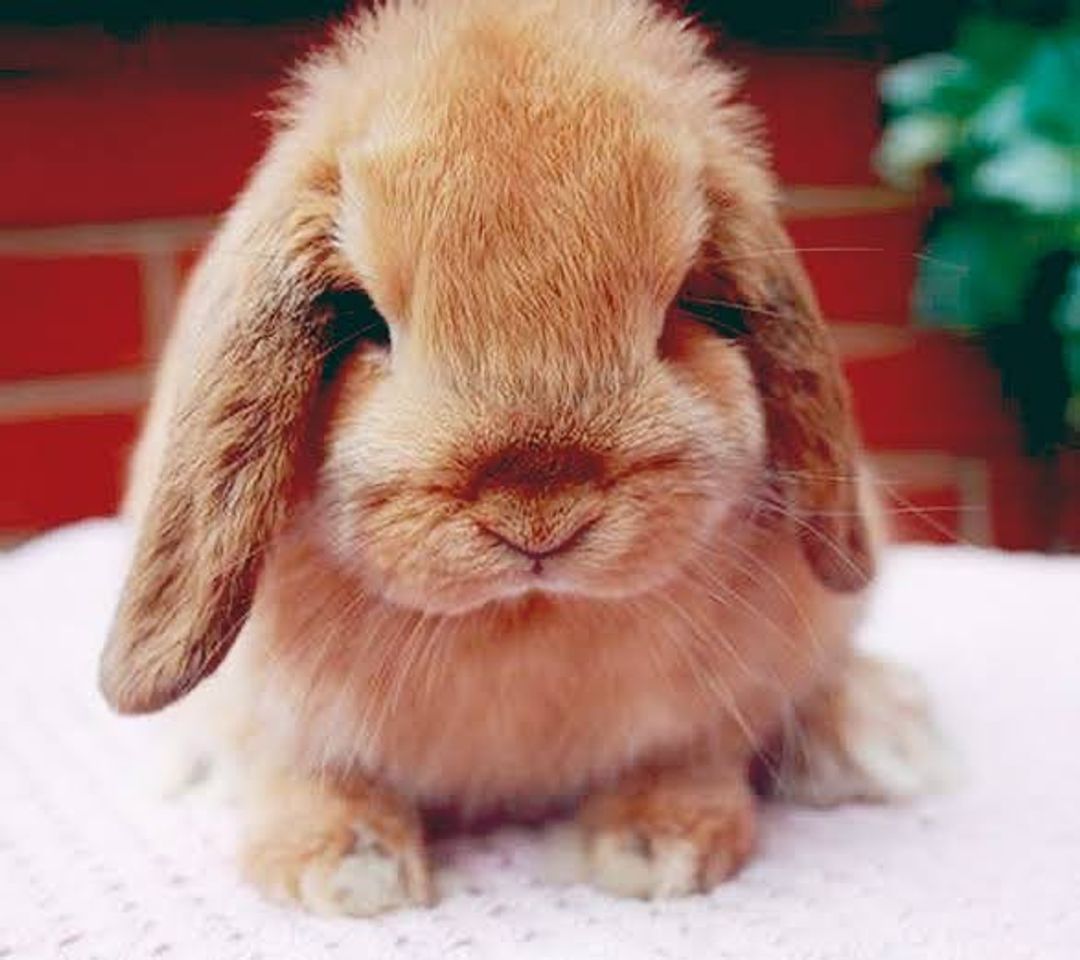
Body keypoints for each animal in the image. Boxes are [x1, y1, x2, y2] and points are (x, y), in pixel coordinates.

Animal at [99, 0, 948, 916]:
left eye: (685, 306)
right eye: (363, 321)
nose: (539, 514)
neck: (520, 620)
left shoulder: (712, 710)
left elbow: (692, 758)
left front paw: (658, 848)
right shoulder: (279, 718)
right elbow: (304, 773)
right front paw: (348, 870)